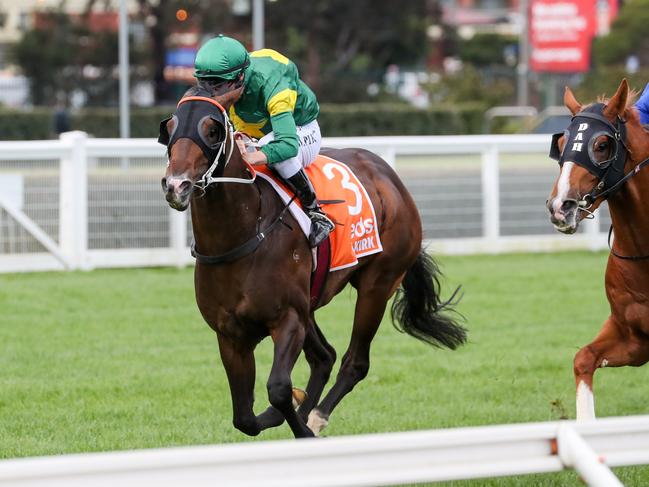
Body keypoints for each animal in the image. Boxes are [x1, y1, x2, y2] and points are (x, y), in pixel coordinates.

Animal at [161, 86, 466, 438]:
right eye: (169, 127)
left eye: (212, 131)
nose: (176, 185)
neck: (240, 237)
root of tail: (389, 176)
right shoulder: (230, 334)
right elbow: (244, 417)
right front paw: (290, 411)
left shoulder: (289, 318)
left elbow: (279, 388)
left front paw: (300, 424)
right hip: (312, 302)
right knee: (324, 357)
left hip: (378, 284)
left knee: (354, 362)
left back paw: (317, 415)